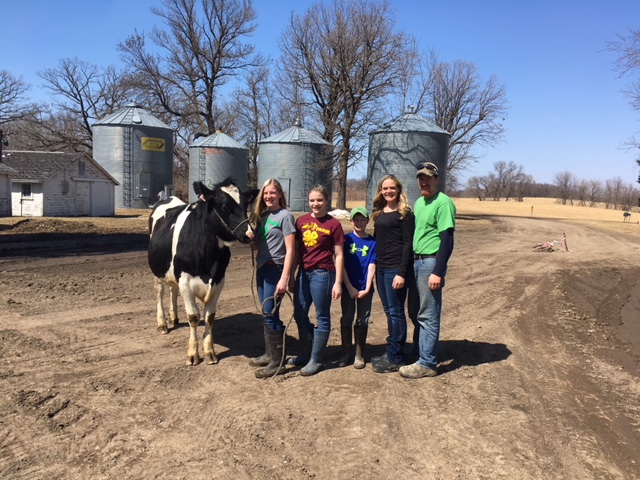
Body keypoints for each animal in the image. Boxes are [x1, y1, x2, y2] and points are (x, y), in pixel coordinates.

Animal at [149, 178, 258, 366]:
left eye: (246, 205)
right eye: (224, 207)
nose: (249, 234)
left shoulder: (219, 280)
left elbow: (209, 317)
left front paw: (209, 352)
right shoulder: (185, 282)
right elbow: (193, 317)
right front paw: (193, 354)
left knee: (172, 290)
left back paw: (173, 318)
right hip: (158, 271)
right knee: (159, 292)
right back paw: (162, 323)